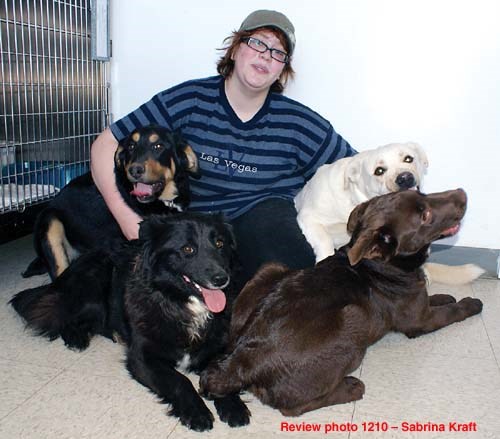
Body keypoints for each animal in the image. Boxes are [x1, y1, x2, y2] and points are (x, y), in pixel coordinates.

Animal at [12, 213, 252, 434]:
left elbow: (223, 375)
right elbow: (180, 381)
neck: (177, 301)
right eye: (187, 249)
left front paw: (233, 407)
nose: (221, 279)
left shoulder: (217, 349)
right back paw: (76, 338)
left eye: (220, 244)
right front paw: (197, 412)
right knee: (61, 315)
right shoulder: (142, 358)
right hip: (93, 289)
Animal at [296, 142, 484, 286]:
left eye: (408, 158)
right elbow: (325, 240)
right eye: (379, 170)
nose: (405, 177)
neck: (354, 200)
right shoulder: (308, 218)